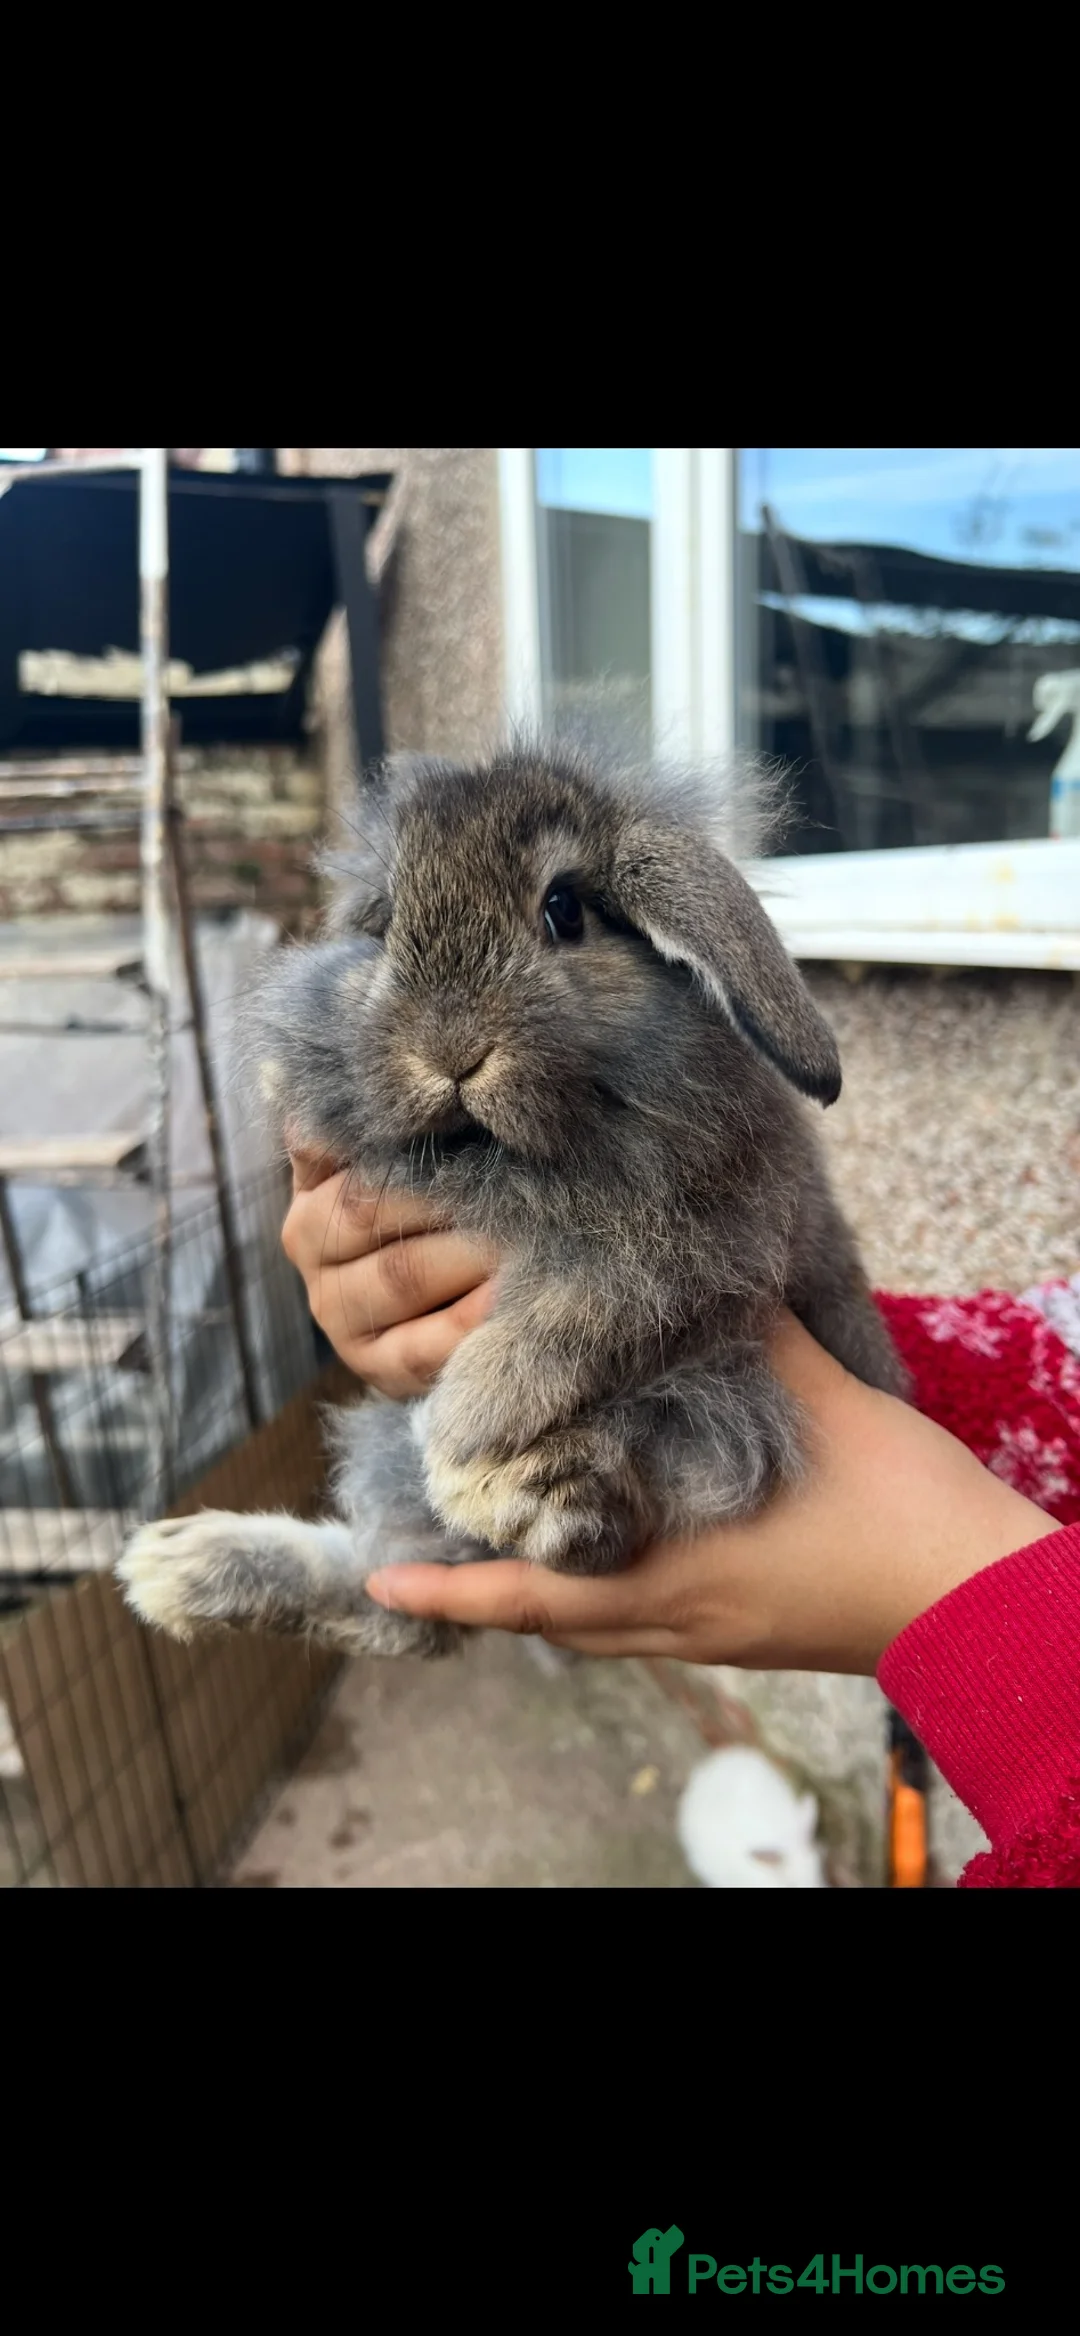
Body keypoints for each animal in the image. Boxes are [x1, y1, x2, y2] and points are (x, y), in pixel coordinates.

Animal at [117, 735, 905, 1661]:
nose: (450, 1051)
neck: (497, 1158)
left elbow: (560, 1322)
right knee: (389, 1597)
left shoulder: (691, 1255)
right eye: (384, 925)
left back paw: (529, 1499)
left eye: (564, 909)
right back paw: (177, 1567)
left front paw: (461, 1437)